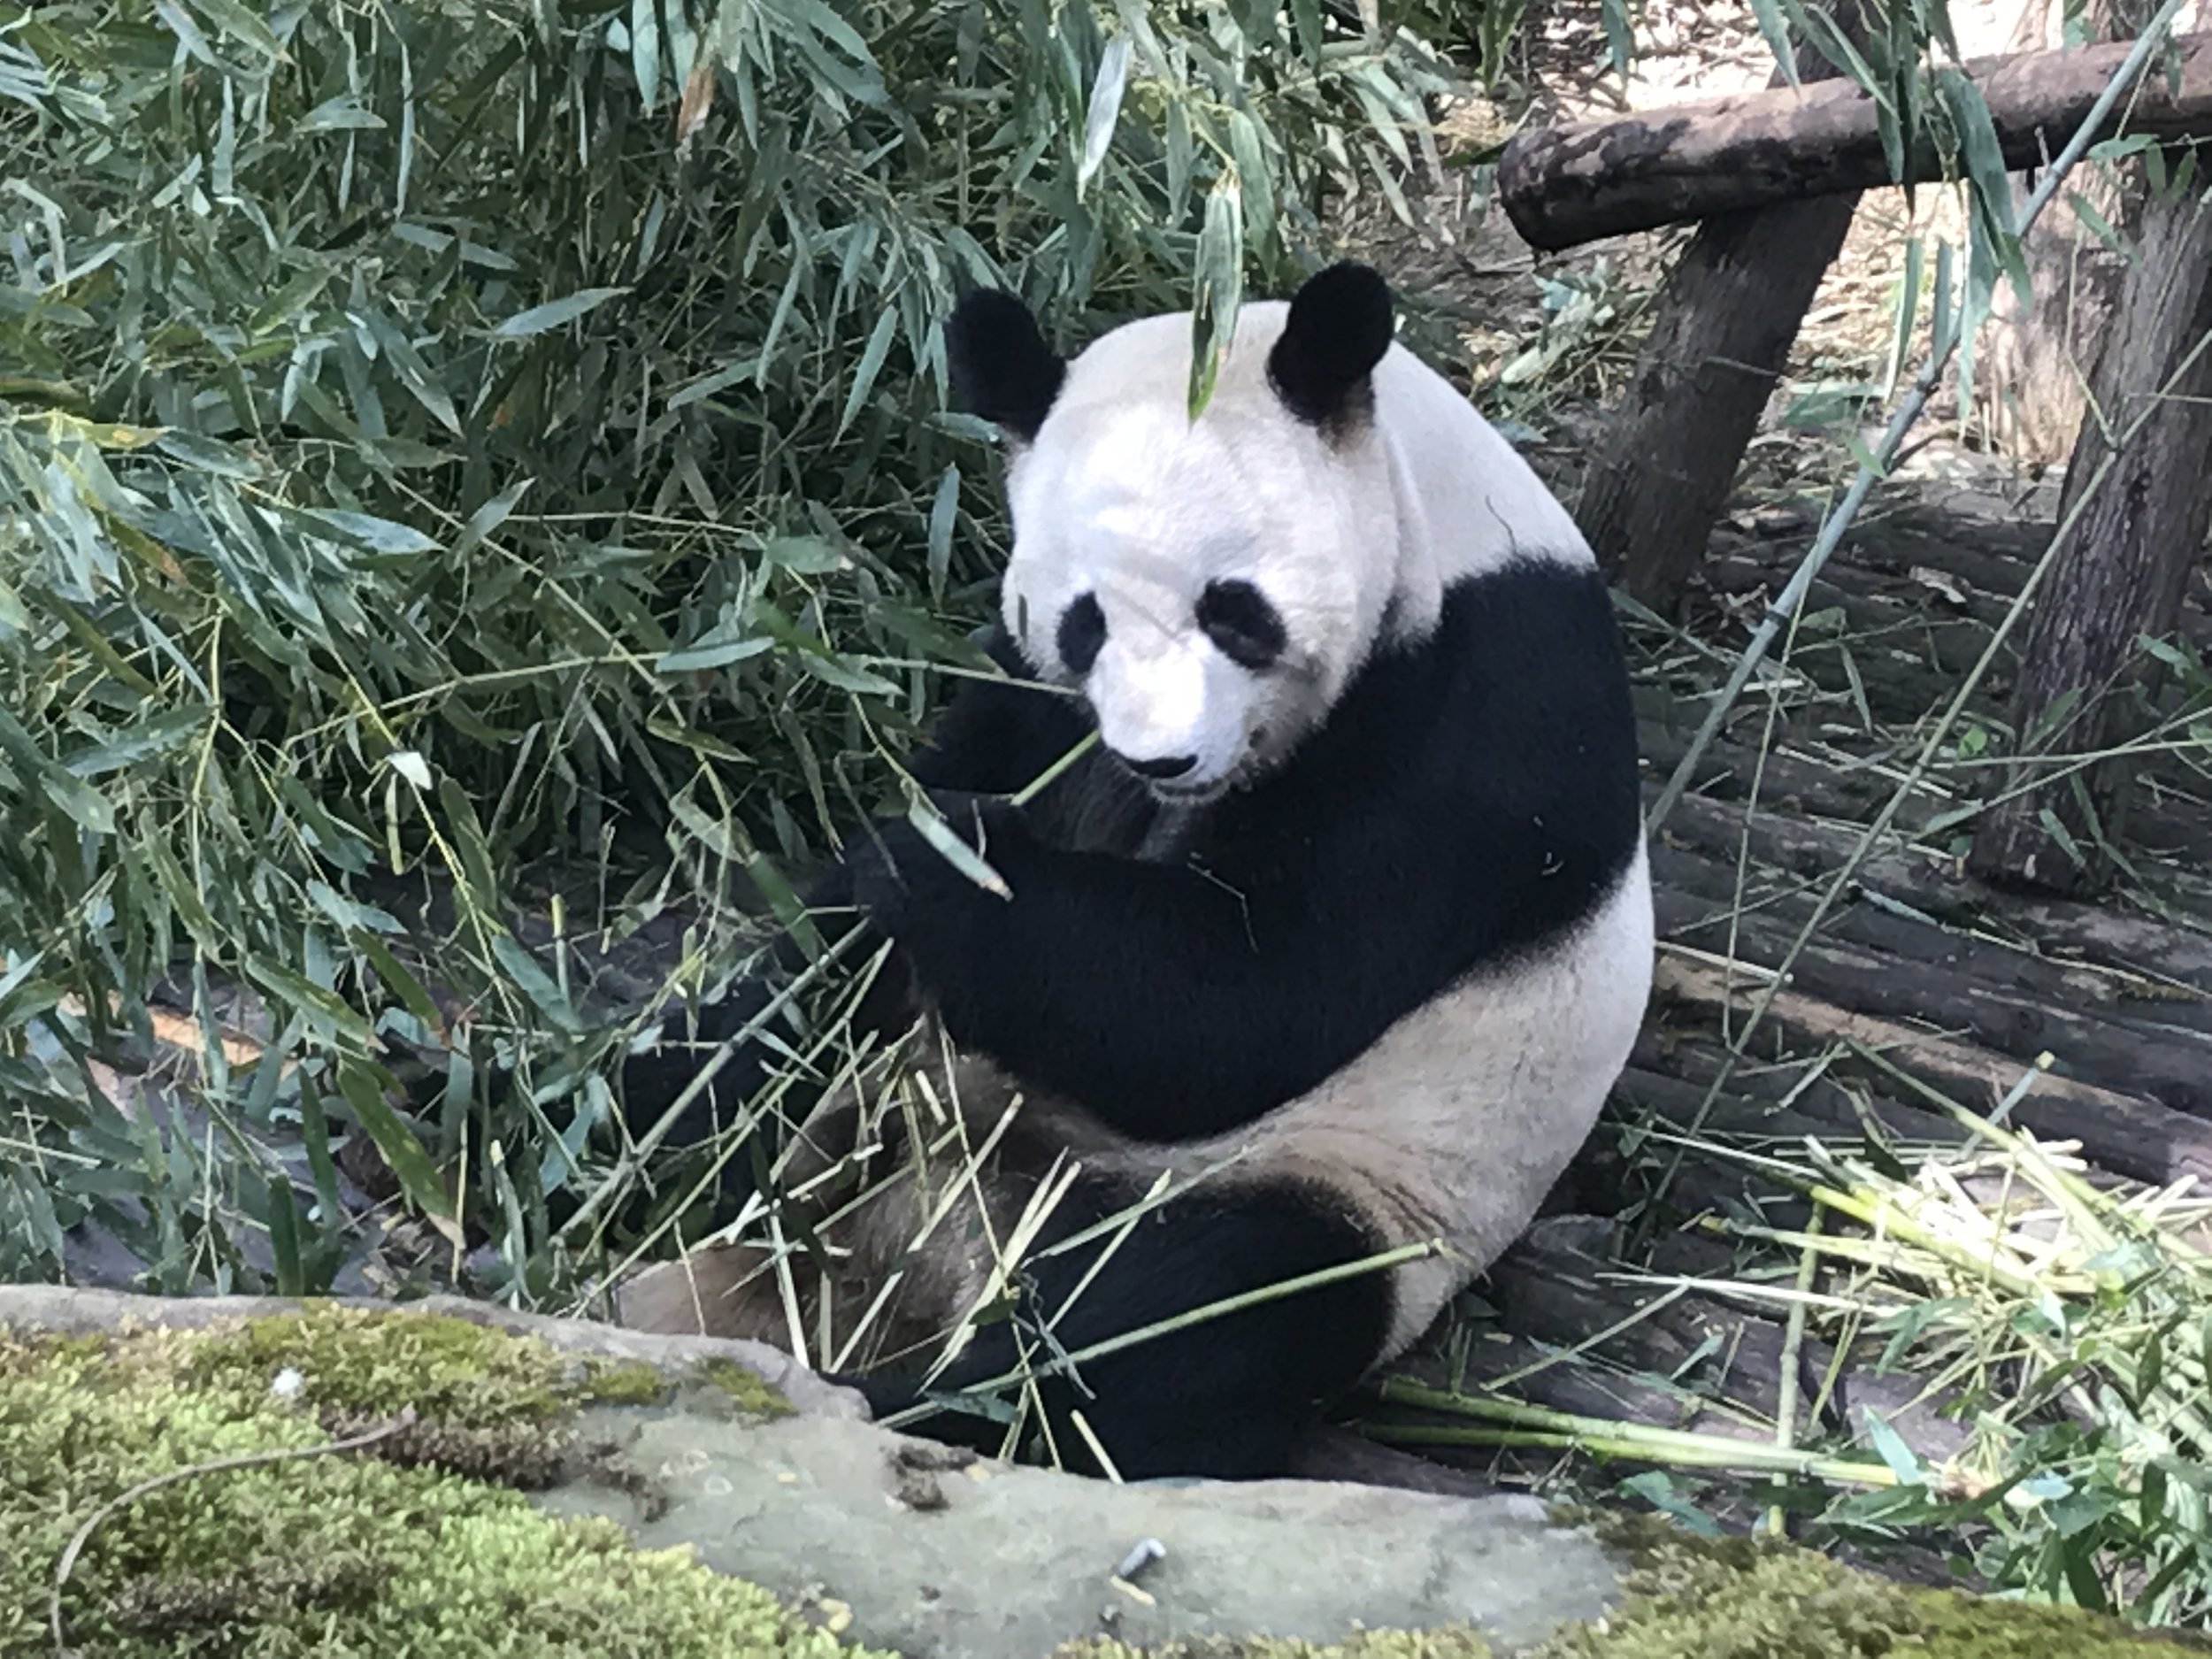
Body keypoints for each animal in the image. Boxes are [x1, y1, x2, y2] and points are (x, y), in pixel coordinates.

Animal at [597, 263, 1655, 1495]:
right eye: (1086, 619)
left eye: (1233, 610)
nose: (1163, 760)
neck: (1429, 502)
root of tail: (933, 1240)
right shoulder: (1038, 696)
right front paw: (913, 857)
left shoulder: (1481, 711)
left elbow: (1244, 1006)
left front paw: (938, 867)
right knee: (754, 1060)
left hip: (1344, 1179)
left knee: (1197, 1317)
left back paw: (924, 1404)